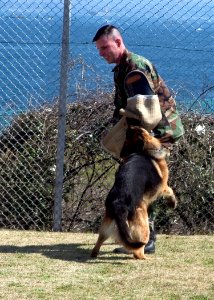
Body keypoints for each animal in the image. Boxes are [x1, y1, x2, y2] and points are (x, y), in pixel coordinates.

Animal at [91, 125, 176, 258]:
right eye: (140, 131)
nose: (131, 125)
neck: (142, 151)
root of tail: (119, 203)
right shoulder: (162, 186)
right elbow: (170, 190)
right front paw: (173, 202)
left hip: (107, 225)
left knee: (100, 240)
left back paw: (94, 253)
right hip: (143, 224)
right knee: (138, 250)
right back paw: (145, 257)